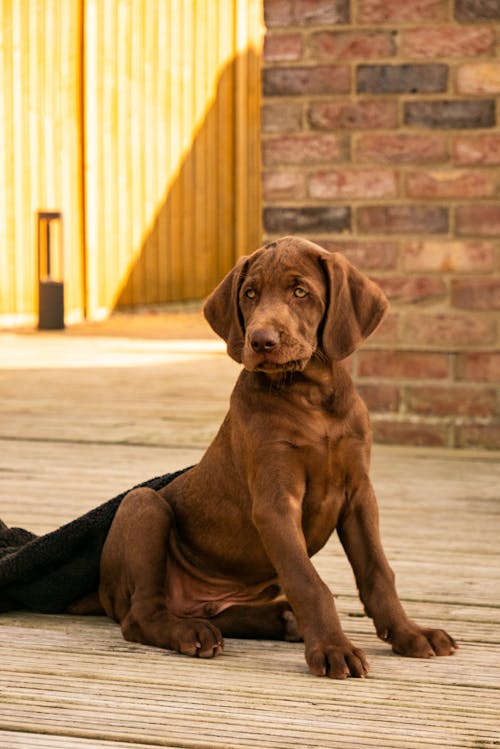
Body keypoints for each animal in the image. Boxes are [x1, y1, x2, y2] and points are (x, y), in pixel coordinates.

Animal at [97, 235, 458, 676]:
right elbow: (309, 582)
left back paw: (279, 619)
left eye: (300, 292)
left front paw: (410, 633)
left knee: (218, 613)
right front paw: (333, 648)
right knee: (142, 614)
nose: (261, 341)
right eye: (249, 294)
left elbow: (377, 571)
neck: (311, 395)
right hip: (143, 505)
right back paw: (191, 632)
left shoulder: (359, 495)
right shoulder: (275, 502)